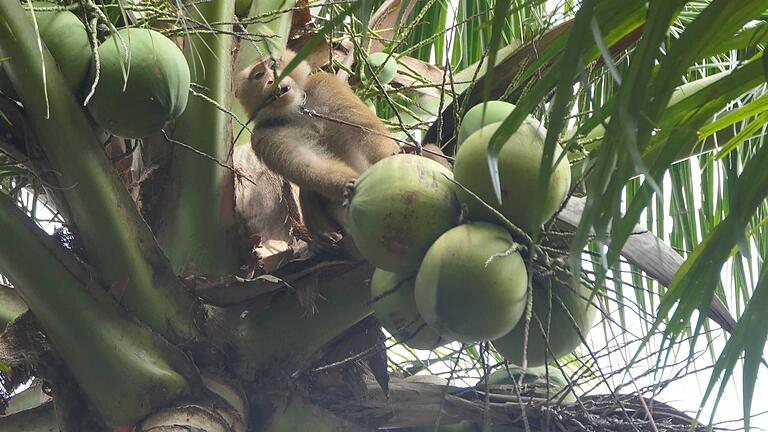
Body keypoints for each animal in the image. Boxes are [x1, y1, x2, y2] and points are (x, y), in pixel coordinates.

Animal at [234, 49, 402, 255]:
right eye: (258, 75)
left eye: (274, 65)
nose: (272, 79)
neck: (297, 111)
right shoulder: (265, 134)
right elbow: (307, 164)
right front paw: (347, 185)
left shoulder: (325, 86)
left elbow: (368, 132)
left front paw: (392, 163)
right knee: (311, 190)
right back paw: (326, 240)